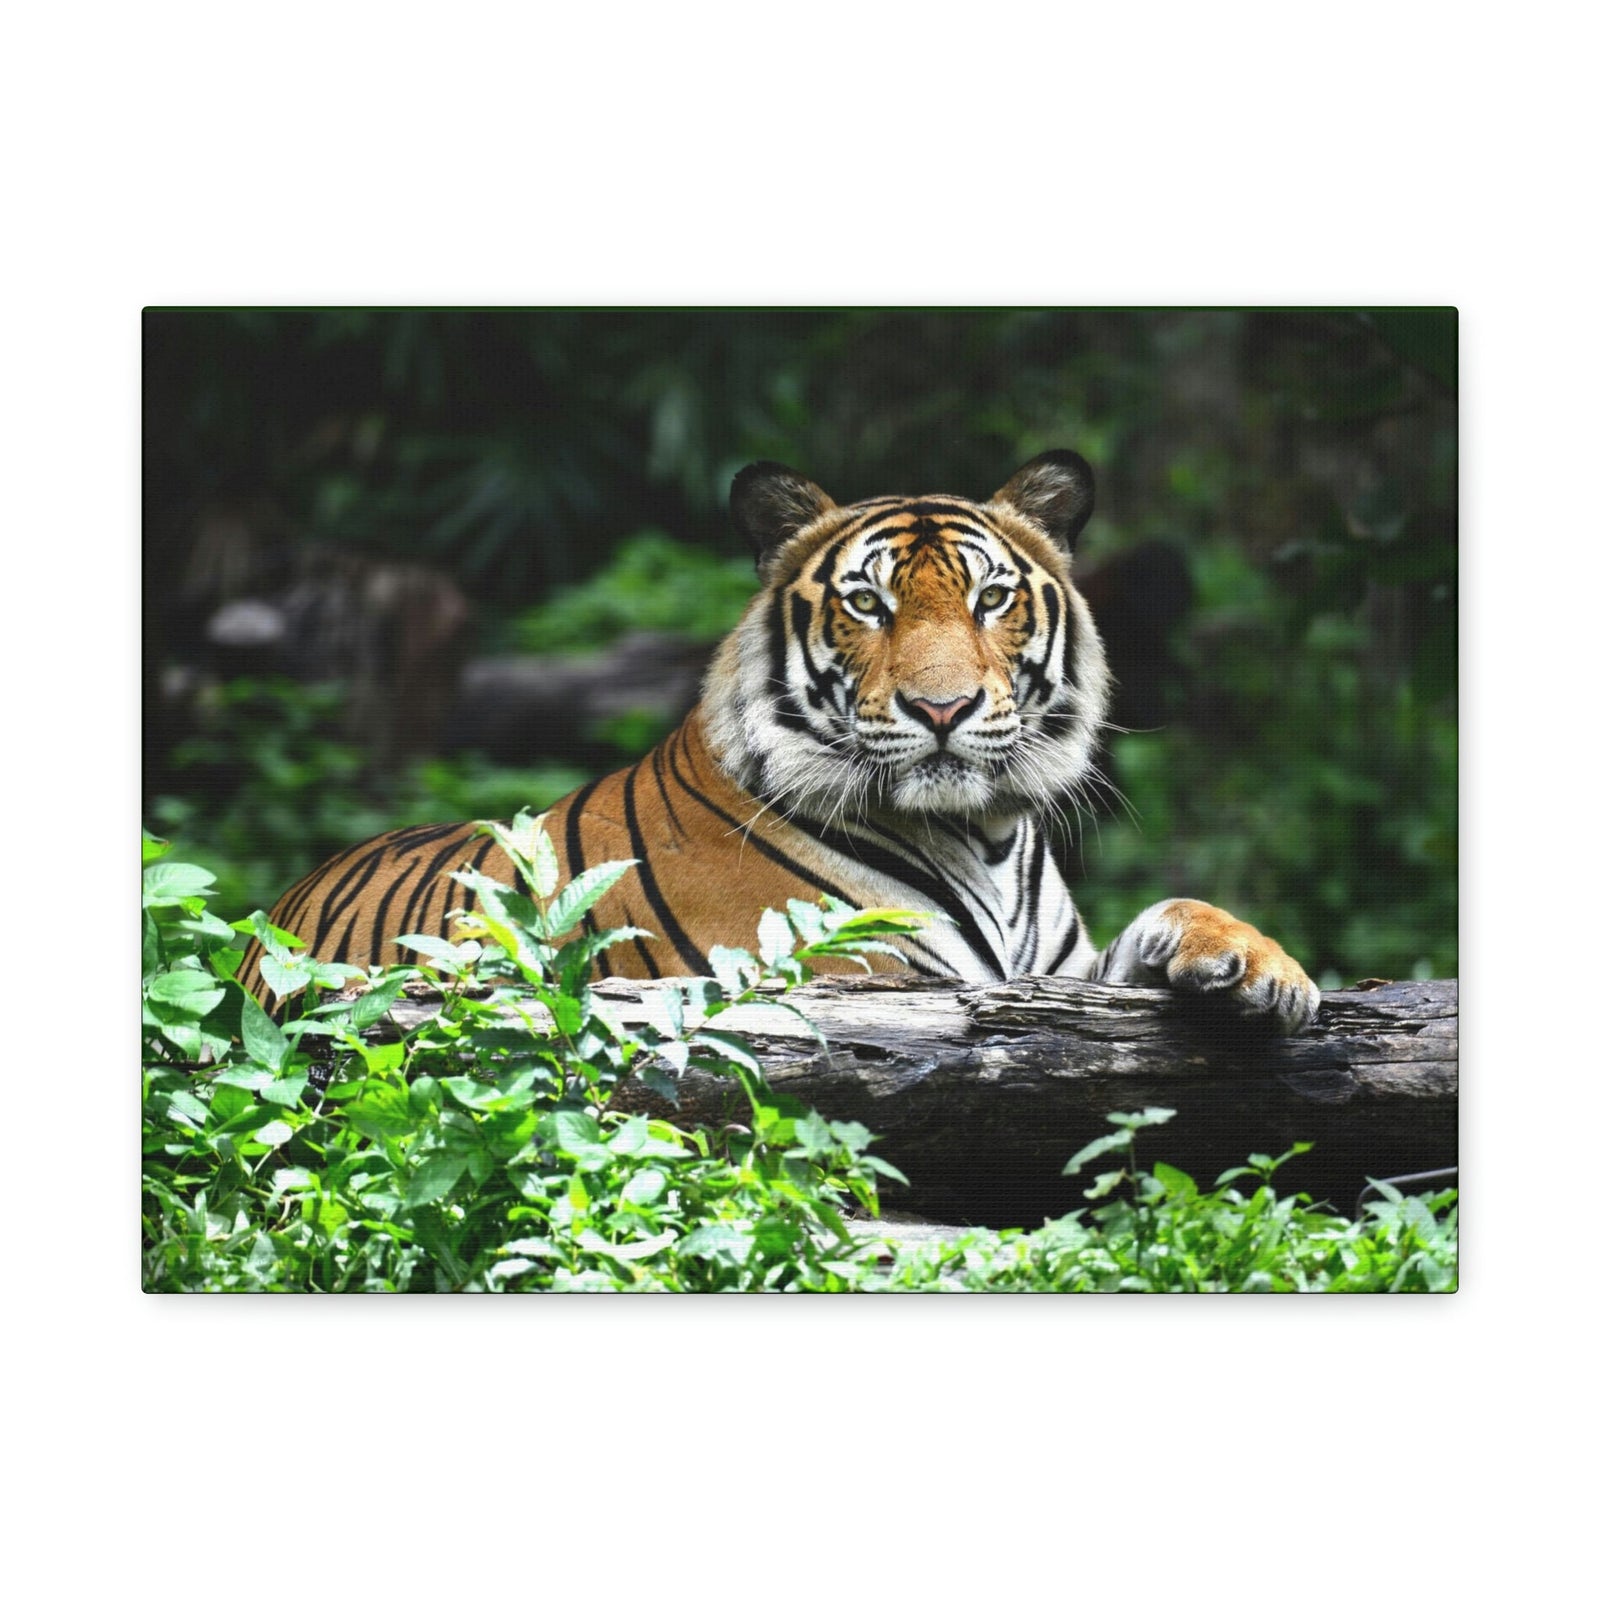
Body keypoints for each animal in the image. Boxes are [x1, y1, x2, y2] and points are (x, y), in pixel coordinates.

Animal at [240, 451, 1320, 1032]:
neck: (985, 835)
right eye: (868, 603)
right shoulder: (855, 979)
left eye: (990, 598)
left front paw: (1262, 968)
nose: (942, 709)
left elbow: (1171, 912)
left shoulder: (1058, 974)